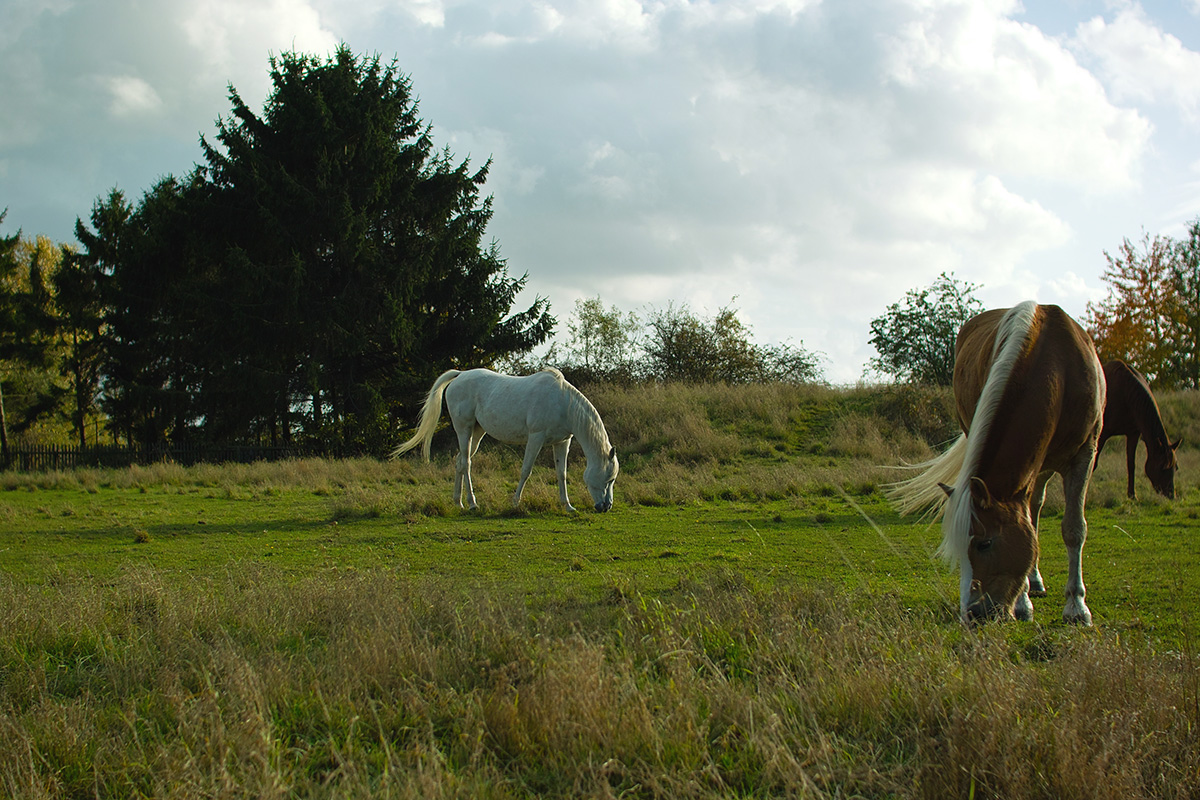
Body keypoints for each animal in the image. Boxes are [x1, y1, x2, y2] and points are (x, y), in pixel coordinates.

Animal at [393, 369, 619, 513]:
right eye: (609, 478)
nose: (606, 507)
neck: (563, 403)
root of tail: (460, 375)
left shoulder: (562, 442)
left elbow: (561, 474)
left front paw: (568, 506)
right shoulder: (536, 437)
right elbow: (526, 471)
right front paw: (515, 503)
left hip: (477, 432)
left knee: (459, 462)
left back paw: (458, 503)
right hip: (464, 429)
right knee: (466, 463)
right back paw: (472, 504)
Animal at [883, 303, 1104, 623]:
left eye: (985, 543)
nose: (973, 613)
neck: (1056, 367)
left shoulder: (1084, 455)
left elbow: (1074, 529)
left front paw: (1076, 607)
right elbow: (1029, 526)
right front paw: (1023, 603)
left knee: (1036, 508)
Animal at [1099, 359, 1180, 496]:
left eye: (1175, 467)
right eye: (1163, 467)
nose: (1170, 494)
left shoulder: (1133, 434)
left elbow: (1131, 464)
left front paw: (1132, 495)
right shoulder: (1102, 434)